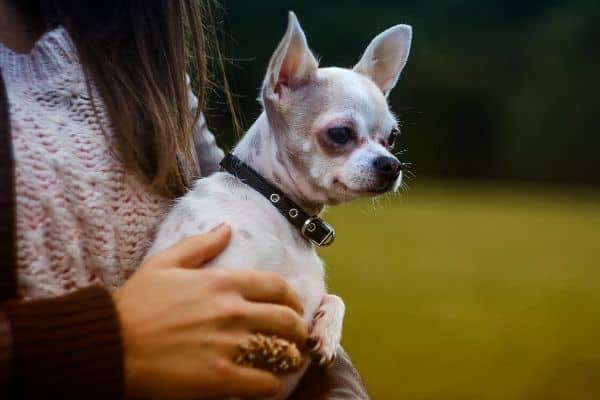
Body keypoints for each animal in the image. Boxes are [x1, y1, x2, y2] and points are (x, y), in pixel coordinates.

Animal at [148, 10, 410, 398]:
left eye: (391, 137)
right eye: (340, 134)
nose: (391, 165)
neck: (276, 204)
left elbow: (335, 299)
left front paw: (326, 333)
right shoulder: (216, 281)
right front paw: (271, 346)